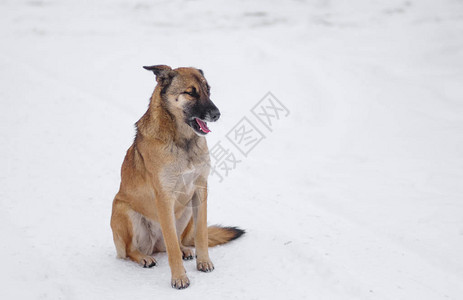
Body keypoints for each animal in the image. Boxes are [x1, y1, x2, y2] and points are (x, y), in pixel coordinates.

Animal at [110, 65, 245, 288]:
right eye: (191, 92)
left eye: (208, 90)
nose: (217, 114)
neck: (183, 141)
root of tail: (153, 246)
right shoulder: (165, 198)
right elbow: (171, 243)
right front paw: (179, 277)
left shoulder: (200, 190)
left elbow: (201, 233)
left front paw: (204, 262)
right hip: (123, 209)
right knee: (132, 250)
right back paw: (144, 257)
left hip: (186, 209)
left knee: (173, 243)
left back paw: (184, 249)